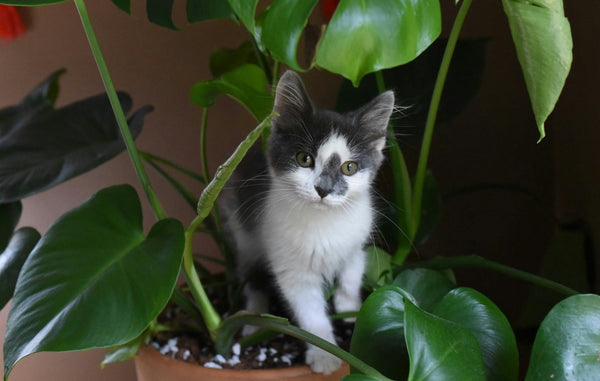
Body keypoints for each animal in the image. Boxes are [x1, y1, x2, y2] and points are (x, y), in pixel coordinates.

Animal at [220, 71, 394, 374]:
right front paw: (325, 355)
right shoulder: (291, 268)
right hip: (244, 230)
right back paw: (254, 321)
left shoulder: (357, 241)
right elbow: (311, 315)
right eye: (304, 159)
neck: (324, 221)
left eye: (349, 167)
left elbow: (352, 273)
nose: (323, 189)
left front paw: (350, 309)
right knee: (252, 275)